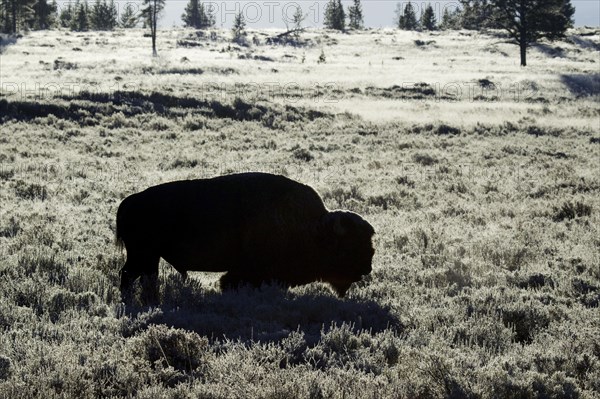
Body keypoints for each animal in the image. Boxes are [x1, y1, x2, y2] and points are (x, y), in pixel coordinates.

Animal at [116, 172, 376, 300]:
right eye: (350, 245)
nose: (367, 267)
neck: (313, 229)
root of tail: (129, 202)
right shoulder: (245, 272)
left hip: (150, 258)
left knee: (145, 277)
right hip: (142, 255)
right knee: (128, 275)